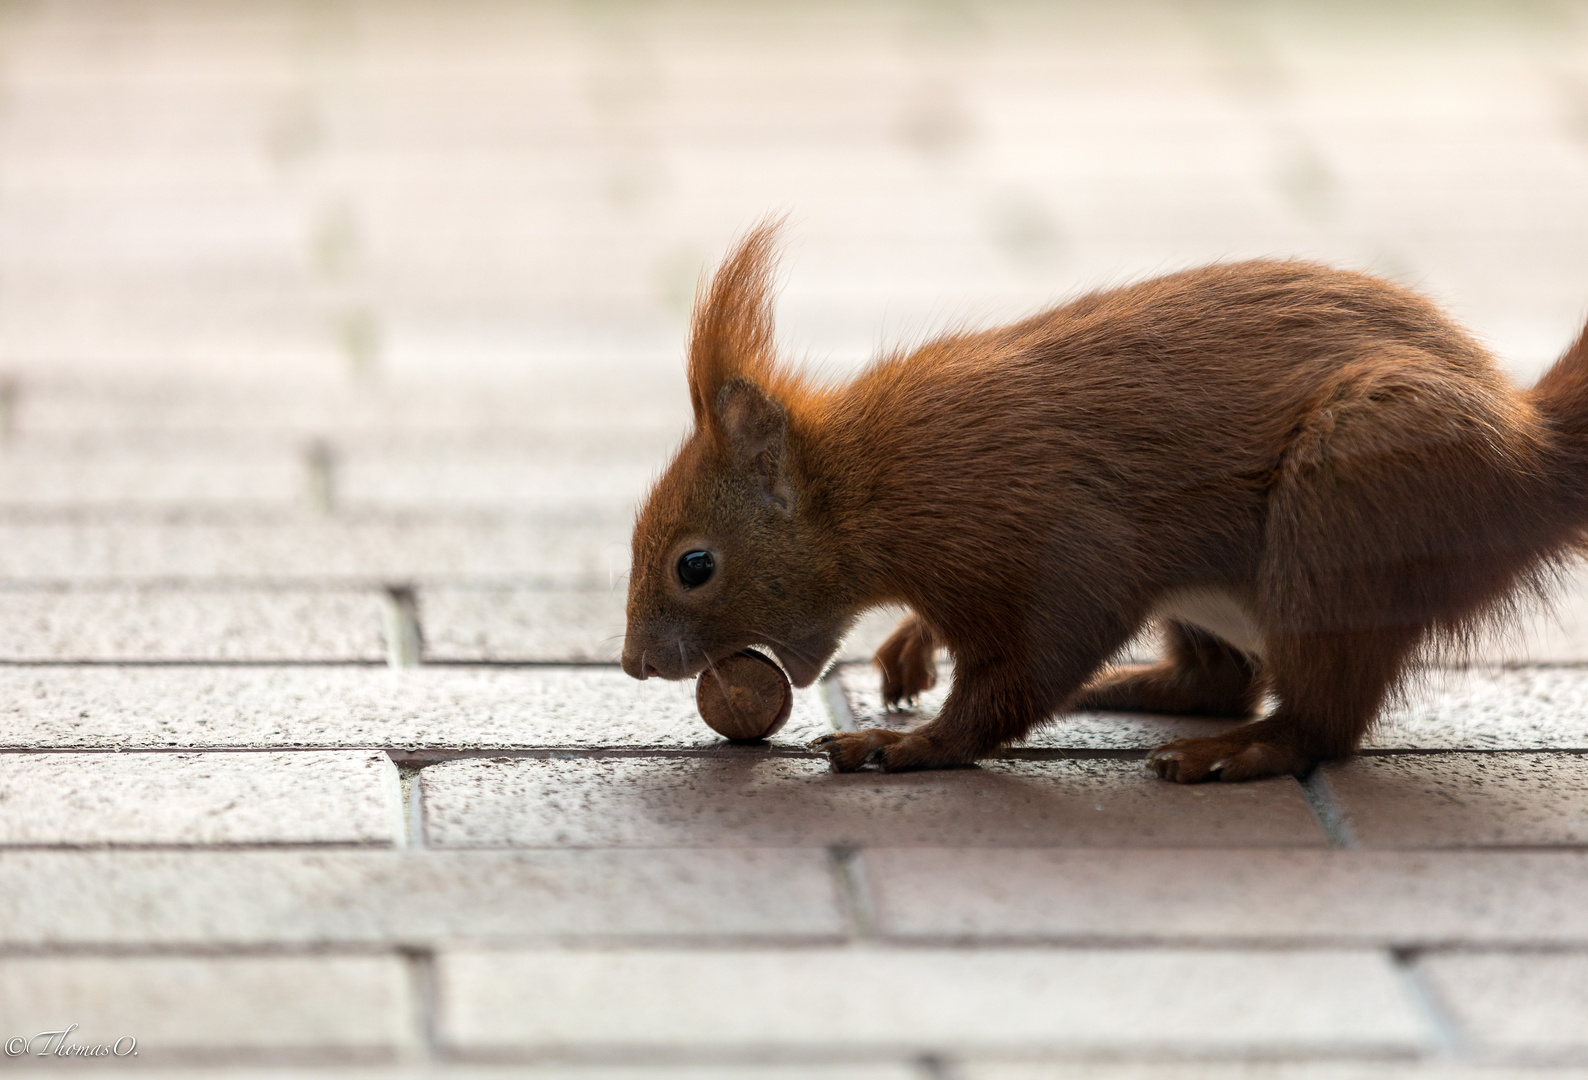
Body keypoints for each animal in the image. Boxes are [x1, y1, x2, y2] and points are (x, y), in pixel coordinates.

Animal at [616, 225, 1588, 784]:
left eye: (695, 565)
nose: (632, 664)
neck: (870, 481)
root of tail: (1525, 462)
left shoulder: (1045, 528)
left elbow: (1037, 658)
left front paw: (915, 744)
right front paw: (909, 650)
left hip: (1352, 505)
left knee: (1320, 717)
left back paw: (1245, 751)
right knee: (1222, 679)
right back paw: (1135, 686)